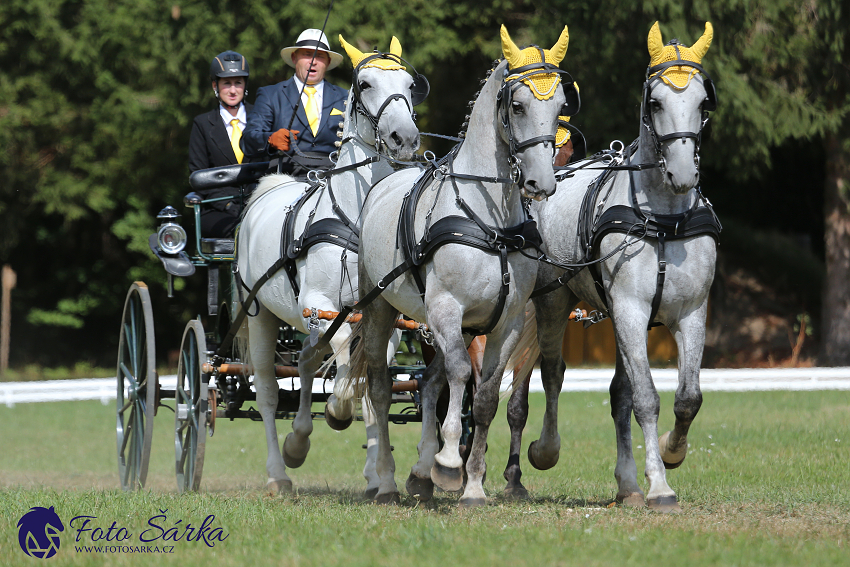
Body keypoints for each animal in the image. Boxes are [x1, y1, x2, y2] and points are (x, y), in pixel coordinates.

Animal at [234, 36, 422, 496]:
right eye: (365, 83)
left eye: (411, 85)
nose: (405, 138)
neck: (358, 215)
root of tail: (272, 185)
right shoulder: (320, 305)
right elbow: (344, 372)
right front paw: (337, 409)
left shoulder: (383, 316)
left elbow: (370, 382)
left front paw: (378, 475)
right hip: (264, 315)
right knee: (268, 391)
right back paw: (279, 472)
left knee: (303, 362)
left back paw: (299, 442)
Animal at [352, 24, 568, 508]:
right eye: (518, 105)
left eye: (562, 104)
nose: (541, 182)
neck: (491, 222)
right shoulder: (447, 309)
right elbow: (458, 375)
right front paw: (450, 462)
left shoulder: (506, 322)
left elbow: (483, 395)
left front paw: (472, 485)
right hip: (381, 309)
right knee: (381, 387)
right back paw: (387, 481)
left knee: (431, 383)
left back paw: (420, 476)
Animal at [506, 22, 720, 512]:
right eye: (655, 102)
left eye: (703, 102)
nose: (684, 175)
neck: (664, 220)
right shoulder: (629, 309)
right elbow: (646, 399)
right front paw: (660, 485)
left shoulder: (690, 313)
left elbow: (686, 398)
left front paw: (670, 452)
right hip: (553, 302)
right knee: (552, 373)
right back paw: (544, 451)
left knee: (616, 393)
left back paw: (627, 484)